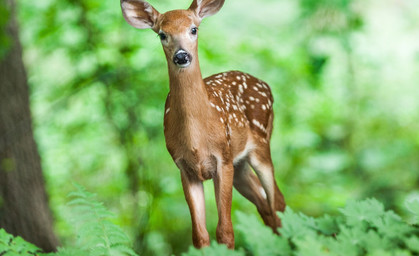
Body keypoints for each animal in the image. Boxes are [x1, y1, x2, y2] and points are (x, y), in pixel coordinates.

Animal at [120, 0, 288, 249]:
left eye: (194, 29)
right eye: (162, 34)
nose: (181, 56)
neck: (196, 139)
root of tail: (265, 84)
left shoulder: (223, 160)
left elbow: (225, 231)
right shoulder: (184, 168)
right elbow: (199, 235)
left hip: (261, 145)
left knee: (278, 202)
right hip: (240, 165)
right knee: (265, 204)